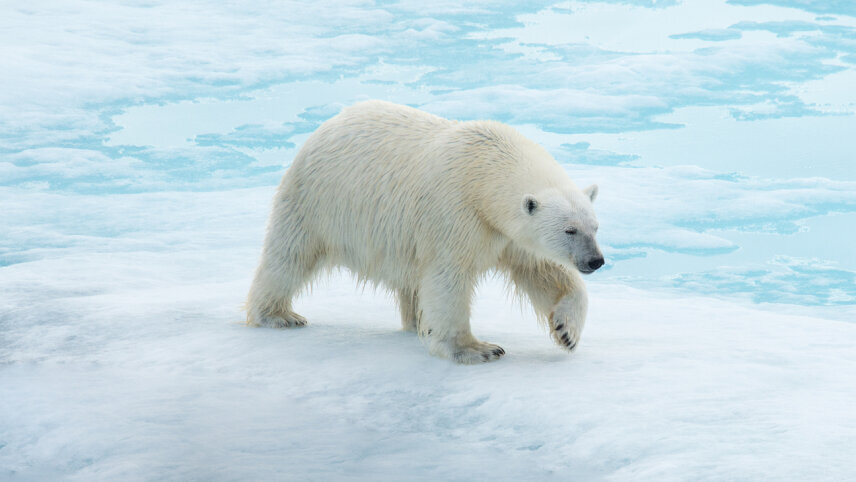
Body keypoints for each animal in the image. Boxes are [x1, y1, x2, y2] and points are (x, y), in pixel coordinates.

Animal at [246, 100, 604, 364]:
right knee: (289, 256)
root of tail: (326, 125)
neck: (484, 171)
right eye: (570, 230)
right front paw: (476, 348)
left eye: (595, 227)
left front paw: (567, 331)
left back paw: (416, 322)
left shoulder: (506, 233)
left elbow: (543, 271)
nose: (595, 260)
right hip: (317, 202)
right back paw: (278, 315)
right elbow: (449, 278)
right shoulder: (455, 213)